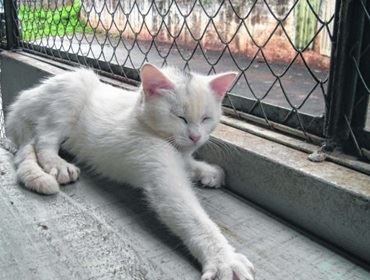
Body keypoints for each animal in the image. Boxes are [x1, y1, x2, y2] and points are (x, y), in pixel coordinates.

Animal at [5, 64, 254, 280]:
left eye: (206, 118)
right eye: (179, 117)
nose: (195, 137)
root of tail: (20, 104)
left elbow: (188, 163)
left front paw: (208, 171)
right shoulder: (160, 171)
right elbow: (194, 218)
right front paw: (224, 260)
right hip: (73, 90)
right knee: (43, 141)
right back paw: (58, 164)